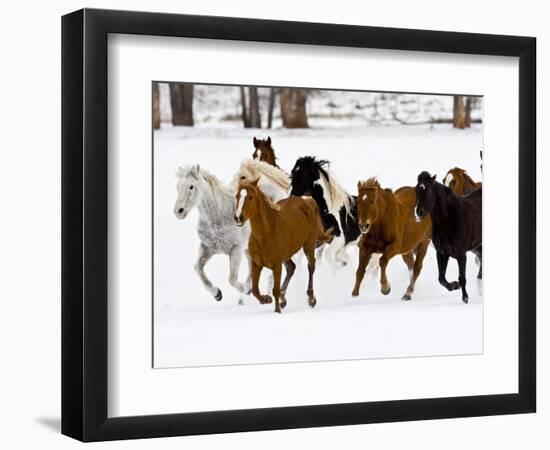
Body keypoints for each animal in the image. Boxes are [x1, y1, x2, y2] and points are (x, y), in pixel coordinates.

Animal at [175, 163, 250, 300]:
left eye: (191, 186)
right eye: (178, 186)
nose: (178, 211)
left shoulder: (236, 249)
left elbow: (232, 279)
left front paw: (245, 289)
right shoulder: (207, 248)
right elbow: (198, 268)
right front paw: (217, 294)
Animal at [234, 178, 332, 312]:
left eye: (250, 197)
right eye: (237, 196)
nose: (238, 217)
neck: (265, 235)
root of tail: (308, 200)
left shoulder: (276, 265)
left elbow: (274, 289)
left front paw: (277, 310)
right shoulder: (256, 264)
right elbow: (255, 290)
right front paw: (267, 299)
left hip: (309, 245)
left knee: (311, 266)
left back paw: (311, 299)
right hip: (287, 255)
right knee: (291, 268)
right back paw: (283, 299)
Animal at [416, 171, 480, 304]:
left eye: (428, 191)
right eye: (416, 191)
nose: (419, 212)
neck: (449, 220)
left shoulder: (461, 255)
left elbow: (462, 278)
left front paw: (465, 298)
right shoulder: (442, 254)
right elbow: (441, 279)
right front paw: (454, 285)